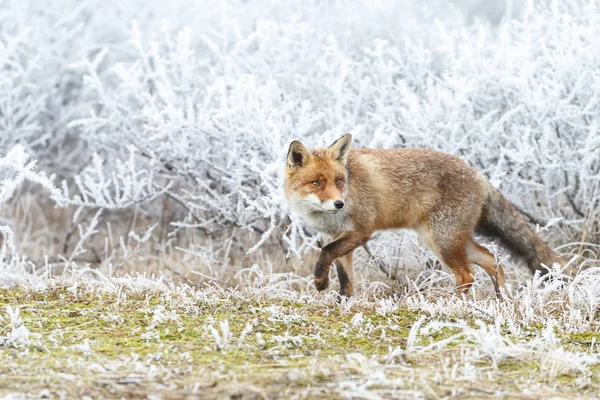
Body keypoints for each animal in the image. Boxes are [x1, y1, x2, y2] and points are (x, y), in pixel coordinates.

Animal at [286, 134, 568, 296]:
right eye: (316, 183)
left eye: (339, 181)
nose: (339, 204)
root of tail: (478, 174)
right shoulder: (332, 235)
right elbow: (345, 278)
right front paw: (342, 303)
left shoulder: (360, 231)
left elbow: (326, 254)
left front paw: (320, 282)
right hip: (449, 239)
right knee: (491, 260)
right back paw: (503, 302)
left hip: (441, 241)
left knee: (467, 275)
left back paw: (455, 307)